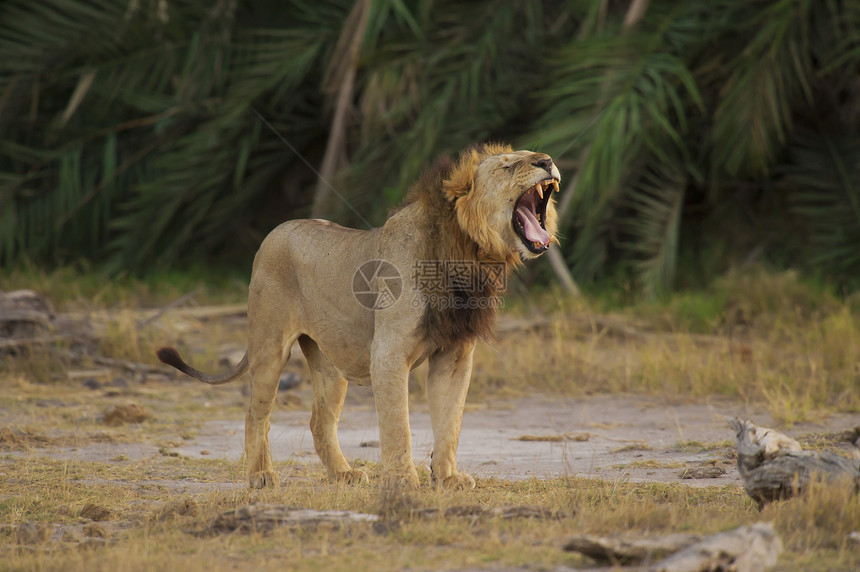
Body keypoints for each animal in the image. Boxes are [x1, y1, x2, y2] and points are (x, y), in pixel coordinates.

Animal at [158, 143, 560, 488]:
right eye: (509, 165)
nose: (547, 161)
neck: (471, 254)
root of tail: (275, 231)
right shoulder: (388, 354)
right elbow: (398, 424)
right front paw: (403, 481)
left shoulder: (455, 355)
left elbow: (450, 421)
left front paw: (447, 478)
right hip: (269, 347)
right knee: (256, 414)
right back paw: (261, 477)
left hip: (330, 364)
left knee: (319, 421)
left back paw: (343, 474)